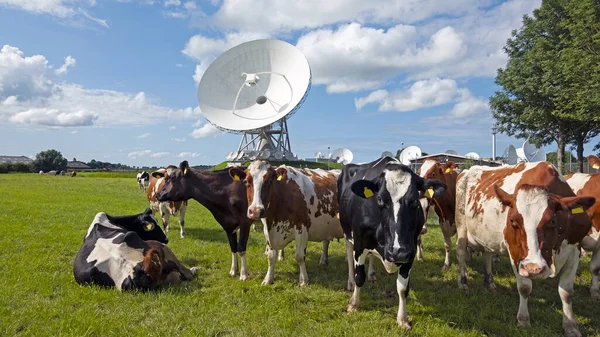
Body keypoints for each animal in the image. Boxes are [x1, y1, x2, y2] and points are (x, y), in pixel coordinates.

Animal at [338, 157, 446, 328]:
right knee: (349, 257)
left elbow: (402, 288)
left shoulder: (410, 251)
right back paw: (350, 282)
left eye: (414, 200)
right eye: (380, 199)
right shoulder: (360, 243)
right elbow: (359, 277)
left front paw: (402, 319)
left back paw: (372, 274)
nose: (397, 252)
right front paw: (354, 304)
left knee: (371, 257)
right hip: (347, 232)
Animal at [454, 161, 596, 334]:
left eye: (552, 221)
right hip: (461, 226)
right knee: (461, 253)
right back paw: (463, 283)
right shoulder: (516, 253)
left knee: (487, 255)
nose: (534, 269)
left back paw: (490, 284)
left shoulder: (574, 250)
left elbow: (567, 292)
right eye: (513, 221)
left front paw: (571, 326)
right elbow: (524, 288)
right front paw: (523, 320)